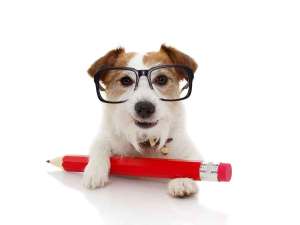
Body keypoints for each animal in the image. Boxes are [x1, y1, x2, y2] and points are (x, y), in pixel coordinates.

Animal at [83, 44, 203, 197]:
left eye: (162, 79)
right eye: (126, 80)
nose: (144, 108)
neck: (146, 139)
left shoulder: (188, 148)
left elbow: (190, 162)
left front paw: (182, 179)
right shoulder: (108, 135)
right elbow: (100, 144)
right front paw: (95, 170)